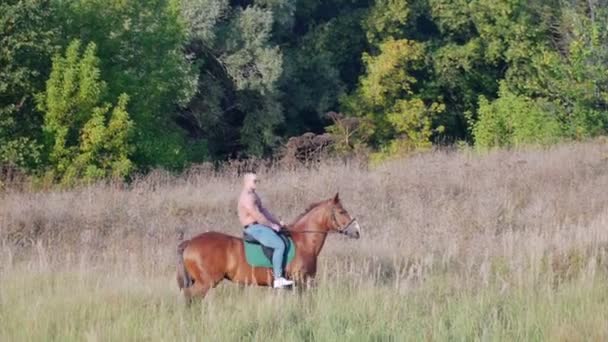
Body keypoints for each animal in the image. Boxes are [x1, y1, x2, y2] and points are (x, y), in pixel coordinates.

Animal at [175, 194, 360, 304]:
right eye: (341, 211)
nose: (357, 231)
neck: (304, 242)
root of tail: (189, 243)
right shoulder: (301, 281)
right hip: (206, 282)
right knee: (190, 297)